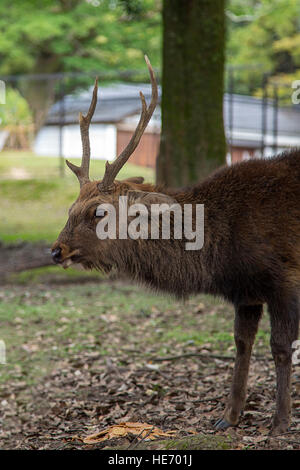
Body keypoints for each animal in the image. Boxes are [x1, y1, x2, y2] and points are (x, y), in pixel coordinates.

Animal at [52, 56, 300, 436]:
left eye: (99, 212)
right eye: (70, 208)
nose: (56, 250)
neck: (220, 256)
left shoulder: (285, 278)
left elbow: (280, 347)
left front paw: (281, 421)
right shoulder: (246, 292)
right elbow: (242, 344)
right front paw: (228, 417)